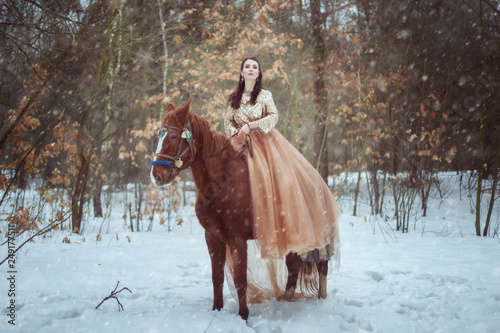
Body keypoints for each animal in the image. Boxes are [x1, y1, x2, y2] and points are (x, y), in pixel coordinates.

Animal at [149, 100, 328, 320]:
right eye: (159, 135)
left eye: (173, 136)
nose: (156, 175)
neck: (221, 182)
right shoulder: (212, 237)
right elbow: (217, 277)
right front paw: (217, 309)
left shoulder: (237, 239)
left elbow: (240, 280)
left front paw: (243, 315)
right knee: (293, 266)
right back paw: (286, 300)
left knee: (322, 264)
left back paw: (321, 299)